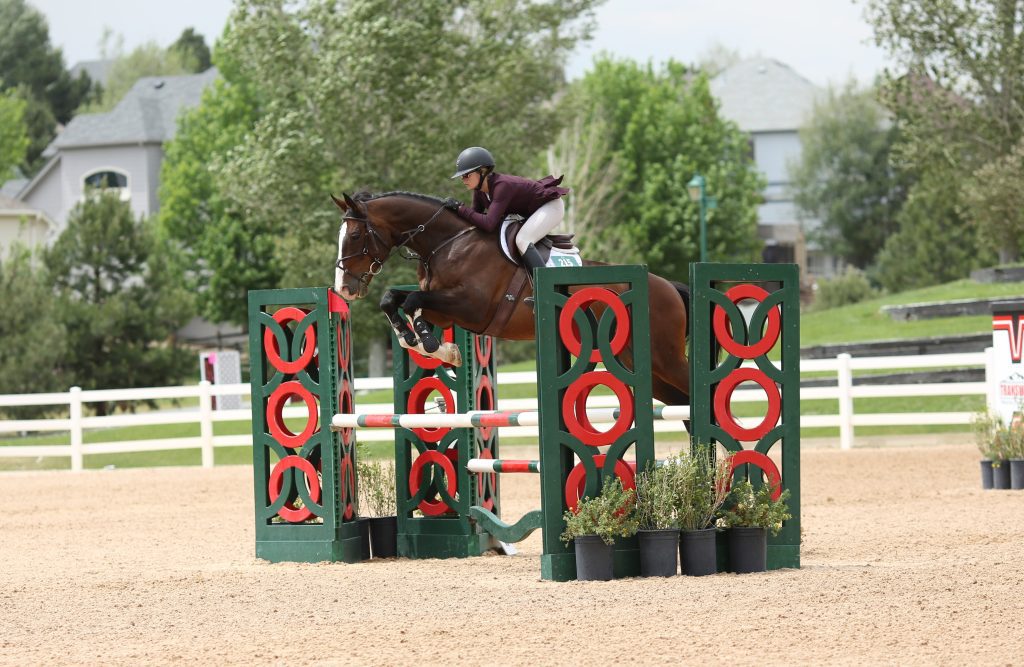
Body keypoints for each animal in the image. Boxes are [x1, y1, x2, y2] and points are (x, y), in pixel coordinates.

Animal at [331, 191, 693, 406]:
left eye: (355, 235)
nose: (344, 288)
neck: (448, 243)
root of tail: (667, 286)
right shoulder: (444, 308)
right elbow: (393, 299)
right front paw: (427, 344)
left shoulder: (471, 307)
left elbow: (410, 303)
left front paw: (431, 343)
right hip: (642, 365)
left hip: (664, 358)